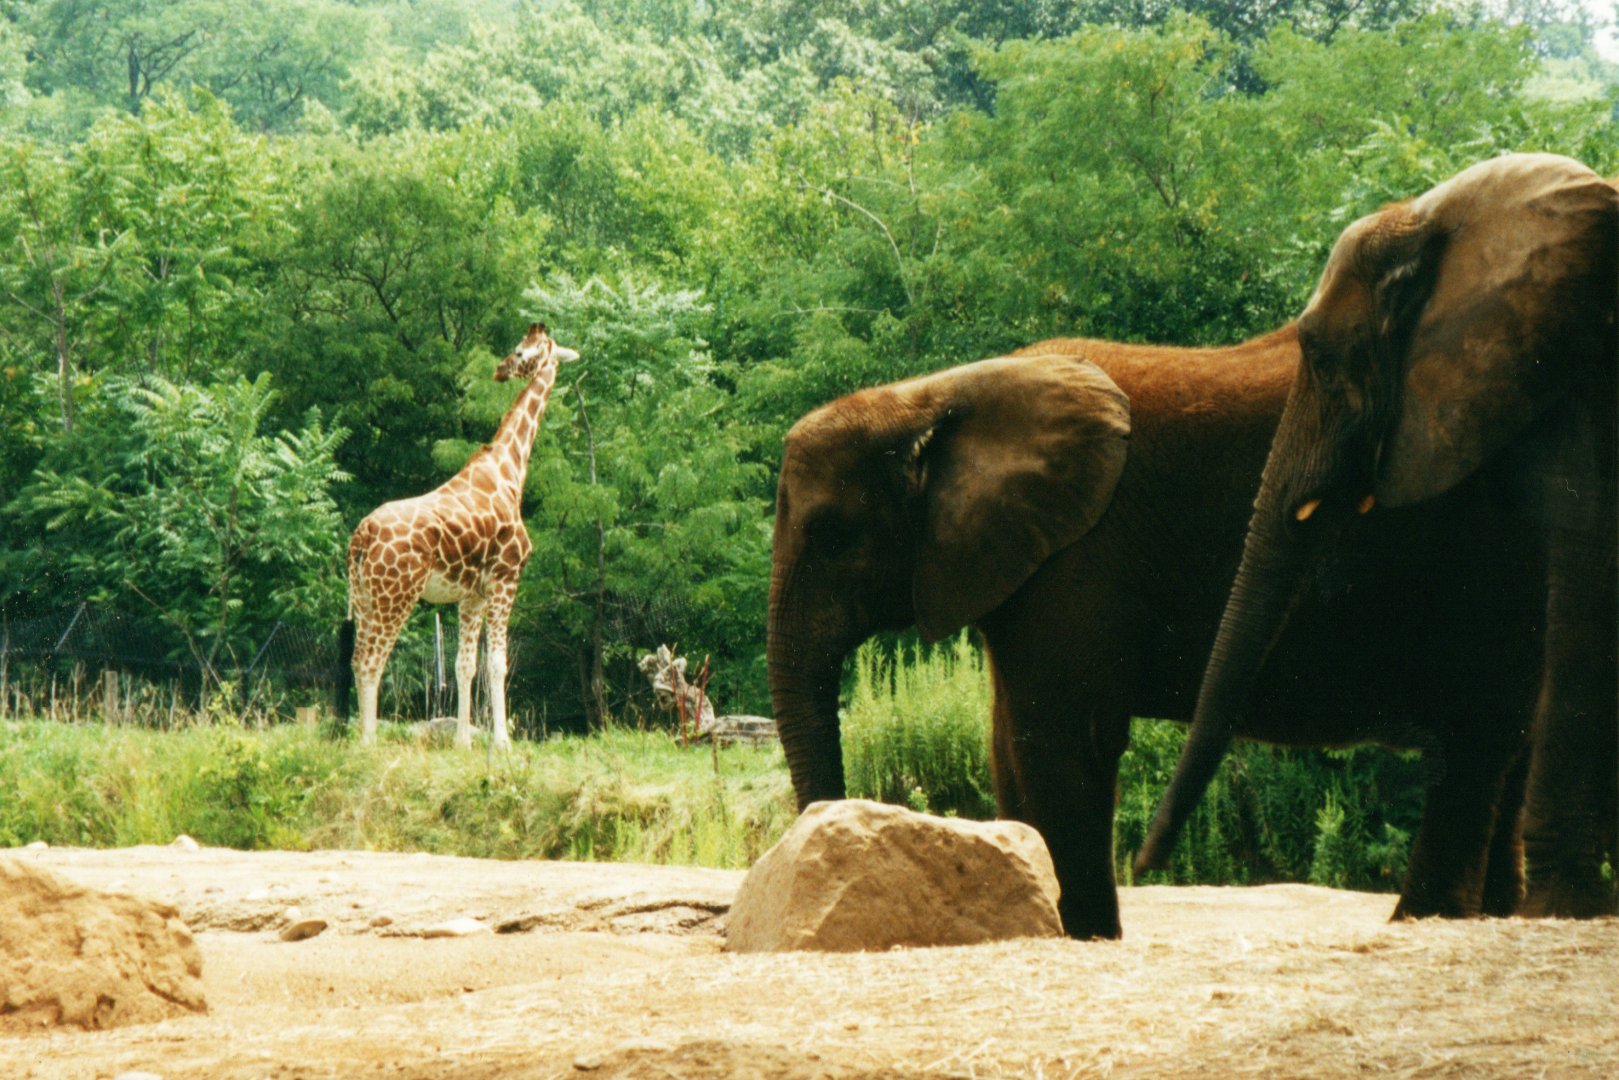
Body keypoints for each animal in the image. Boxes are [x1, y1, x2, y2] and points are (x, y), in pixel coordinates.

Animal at [337, 323, 578, 749]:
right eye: (519, 350)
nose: (500, 370)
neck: (510, 469)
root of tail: (360, 538)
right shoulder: (505, 579)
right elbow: (497, 664)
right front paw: (502, 743)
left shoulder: (473, 595)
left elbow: (464, 665)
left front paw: (463, 742)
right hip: (395, 596)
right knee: (370, 661)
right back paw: (369, 742)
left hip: (363, 595)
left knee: (357, 658)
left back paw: (365, 739)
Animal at [769, 324, 1546, 940]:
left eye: (832, 535)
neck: (930, 397)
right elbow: (1009, 743)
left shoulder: (1080, 554)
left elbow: (1058, 739)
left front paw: (1079, 935)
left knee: (1477, 732)